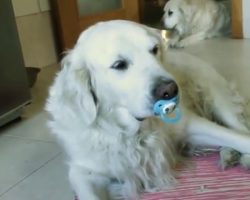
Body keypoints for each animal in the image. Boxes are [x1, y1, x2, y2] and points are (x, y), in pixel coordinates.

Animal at [46, 19, 250, 199]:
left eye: (154, 49)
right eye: (119, 64)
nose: (170, 90)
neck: (134, 131)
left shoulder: (190, 125)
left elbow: (240, 138)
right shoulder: (83, 171)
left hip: (217, 97)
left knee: (239, 126)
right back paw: (229, 154)